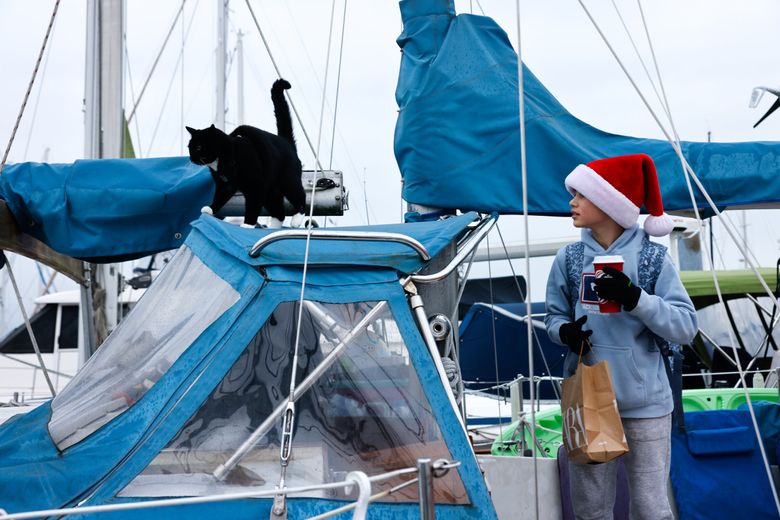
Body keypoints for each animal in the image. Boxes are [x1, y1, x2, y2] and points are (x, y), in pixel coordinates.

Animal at [187, 79, 306, 228]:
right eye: (189, 147)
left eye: (198, 147)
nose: (191, 157)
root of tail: (285, 140)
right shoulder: (225, 185)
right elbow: (220, 196)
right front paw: (210, 208)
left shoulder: (255, 185)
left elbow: (253, 204)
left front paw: (248, 224)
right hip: (270, 191)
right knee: (279, 212)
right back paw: (273, 227)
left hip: (287, 181)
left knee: (300, 196)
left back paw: (297, 219)